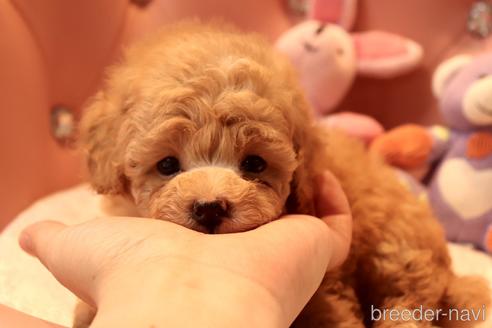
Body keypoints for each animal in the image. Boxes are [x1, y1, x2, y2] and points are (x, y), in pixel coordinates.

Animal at [77, 21, 488, 326]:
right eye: (166, 165)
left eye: (254, 164)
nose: (209, 208)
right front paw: (85, 313)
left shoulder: (328, 279)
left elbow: (329, 312)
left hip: (399, 249)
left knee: (409, 300)